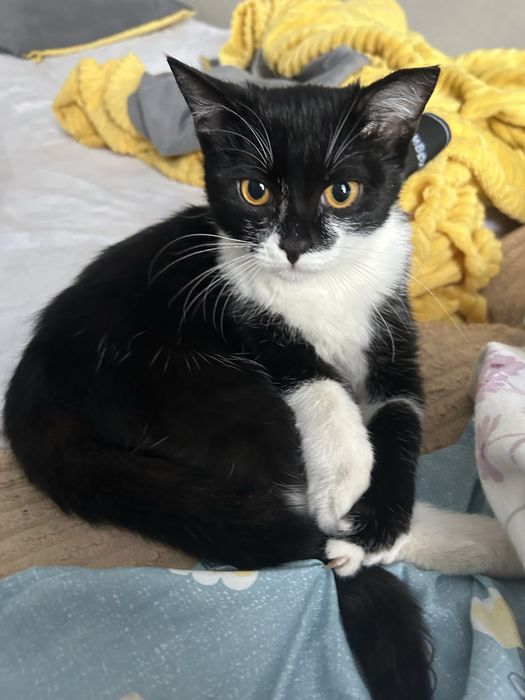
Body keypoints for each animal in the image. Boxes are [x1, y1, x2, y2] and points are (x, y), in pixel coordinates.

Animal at [4, 58, 520, 699]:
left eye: (342, 192)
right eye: (256, 190)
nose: (294, 245)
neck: (321, 292)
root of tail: (30, 397)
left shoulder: (393, 328)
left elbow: (402, 417)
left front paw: (380, 517)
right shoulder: (245, 315)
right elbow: (317, 384)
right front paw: (345, 480)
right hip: (190, 385)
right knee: (291, 501)